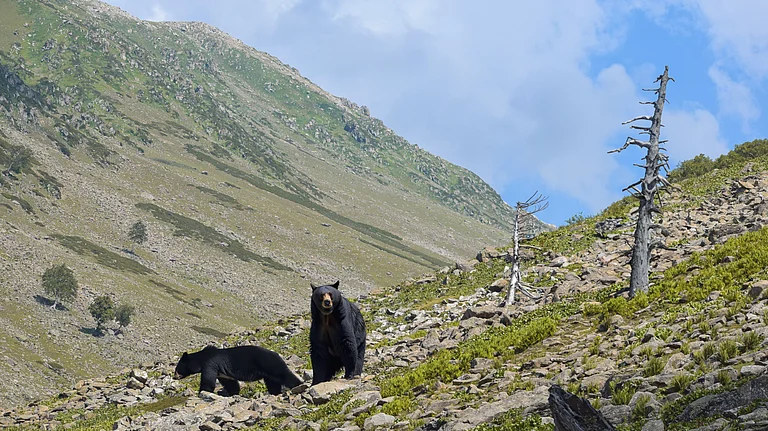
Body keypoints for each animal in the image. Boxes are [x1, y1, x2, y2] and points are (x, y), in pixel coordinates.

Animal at [173, 345, 302, 396]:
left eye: (177, 368)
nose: (174, 377)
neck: (201, 360)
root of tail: (277, 354)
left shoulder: (210, 364)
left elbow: (208, 382)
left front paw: (203, 392)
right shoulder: (222, 373)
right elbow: (231, 383)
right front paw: (233, 393)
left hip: (269, 363)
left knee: (284, 375)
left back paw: (299, 385)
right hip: (268, 373)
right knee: (273, 383)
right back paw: (275, 393)